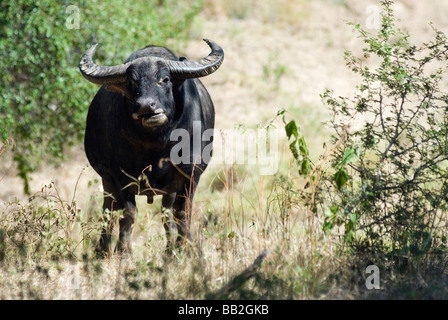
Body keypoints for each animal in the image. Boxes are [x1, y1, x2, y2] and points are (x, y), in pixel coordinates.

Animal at [79, 38, 224, 256]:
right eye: (131, 82)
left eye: (165, 79)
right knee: (109, 210)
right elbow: (128, 214)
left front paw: (185, 248)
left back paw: (170, 248)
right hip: (107, 182)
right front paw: (124, 253)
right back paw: (102, 250)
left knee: (167, 212)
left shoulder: (190, 173)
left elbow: (182, 212)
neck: (155, 144)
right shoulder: (119, 176)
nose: (146, 106)